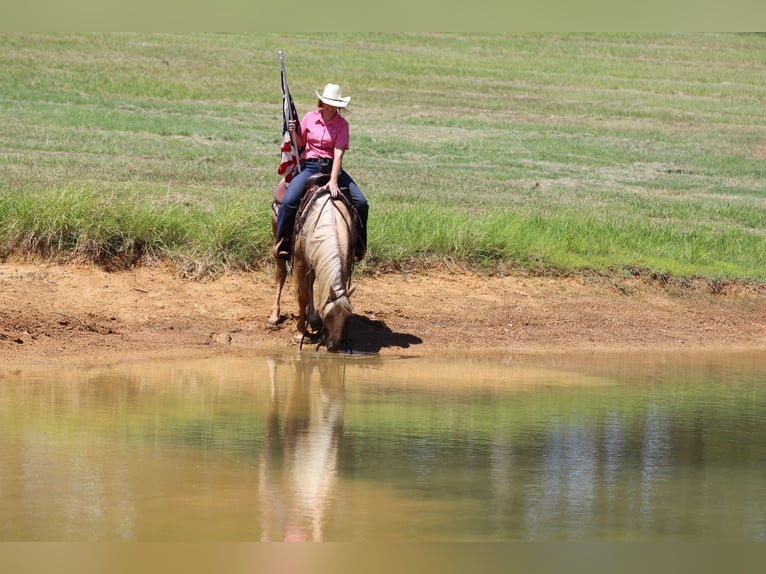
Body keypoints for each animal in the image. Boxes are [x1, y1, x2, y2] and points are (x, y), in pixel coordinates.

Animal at [269, 174, 358, 352]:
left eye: (347, 316)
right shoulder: (301, 262)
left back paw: (312, 318)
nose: (333, 346)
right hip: (278, 245)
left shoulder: (343, 262)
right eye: (327, 314)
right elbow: (302, 296)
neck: (331, 219)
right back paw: (275, 315)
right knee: (281, 276)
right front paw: (299, 332)